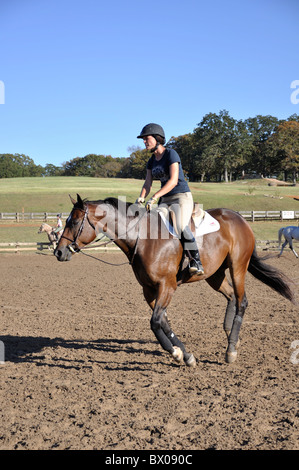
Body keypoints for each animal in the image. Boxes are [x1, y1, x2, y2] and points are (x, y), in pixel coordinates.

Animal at [54, 195, 296, 368]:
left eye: (74, 221)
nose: (58, 252)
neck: (142, 238)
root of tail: (239, 218)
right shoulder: (149, 290)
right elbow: (162, 322)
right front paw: (184, 354)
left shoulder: (166, 286)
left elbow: (155, 322)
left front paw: (179, 354)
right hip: (214, 274)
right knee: (230, 298)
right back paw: (231, 338)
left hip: (238, 267)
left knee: (242, 301)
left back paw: (231, 351)